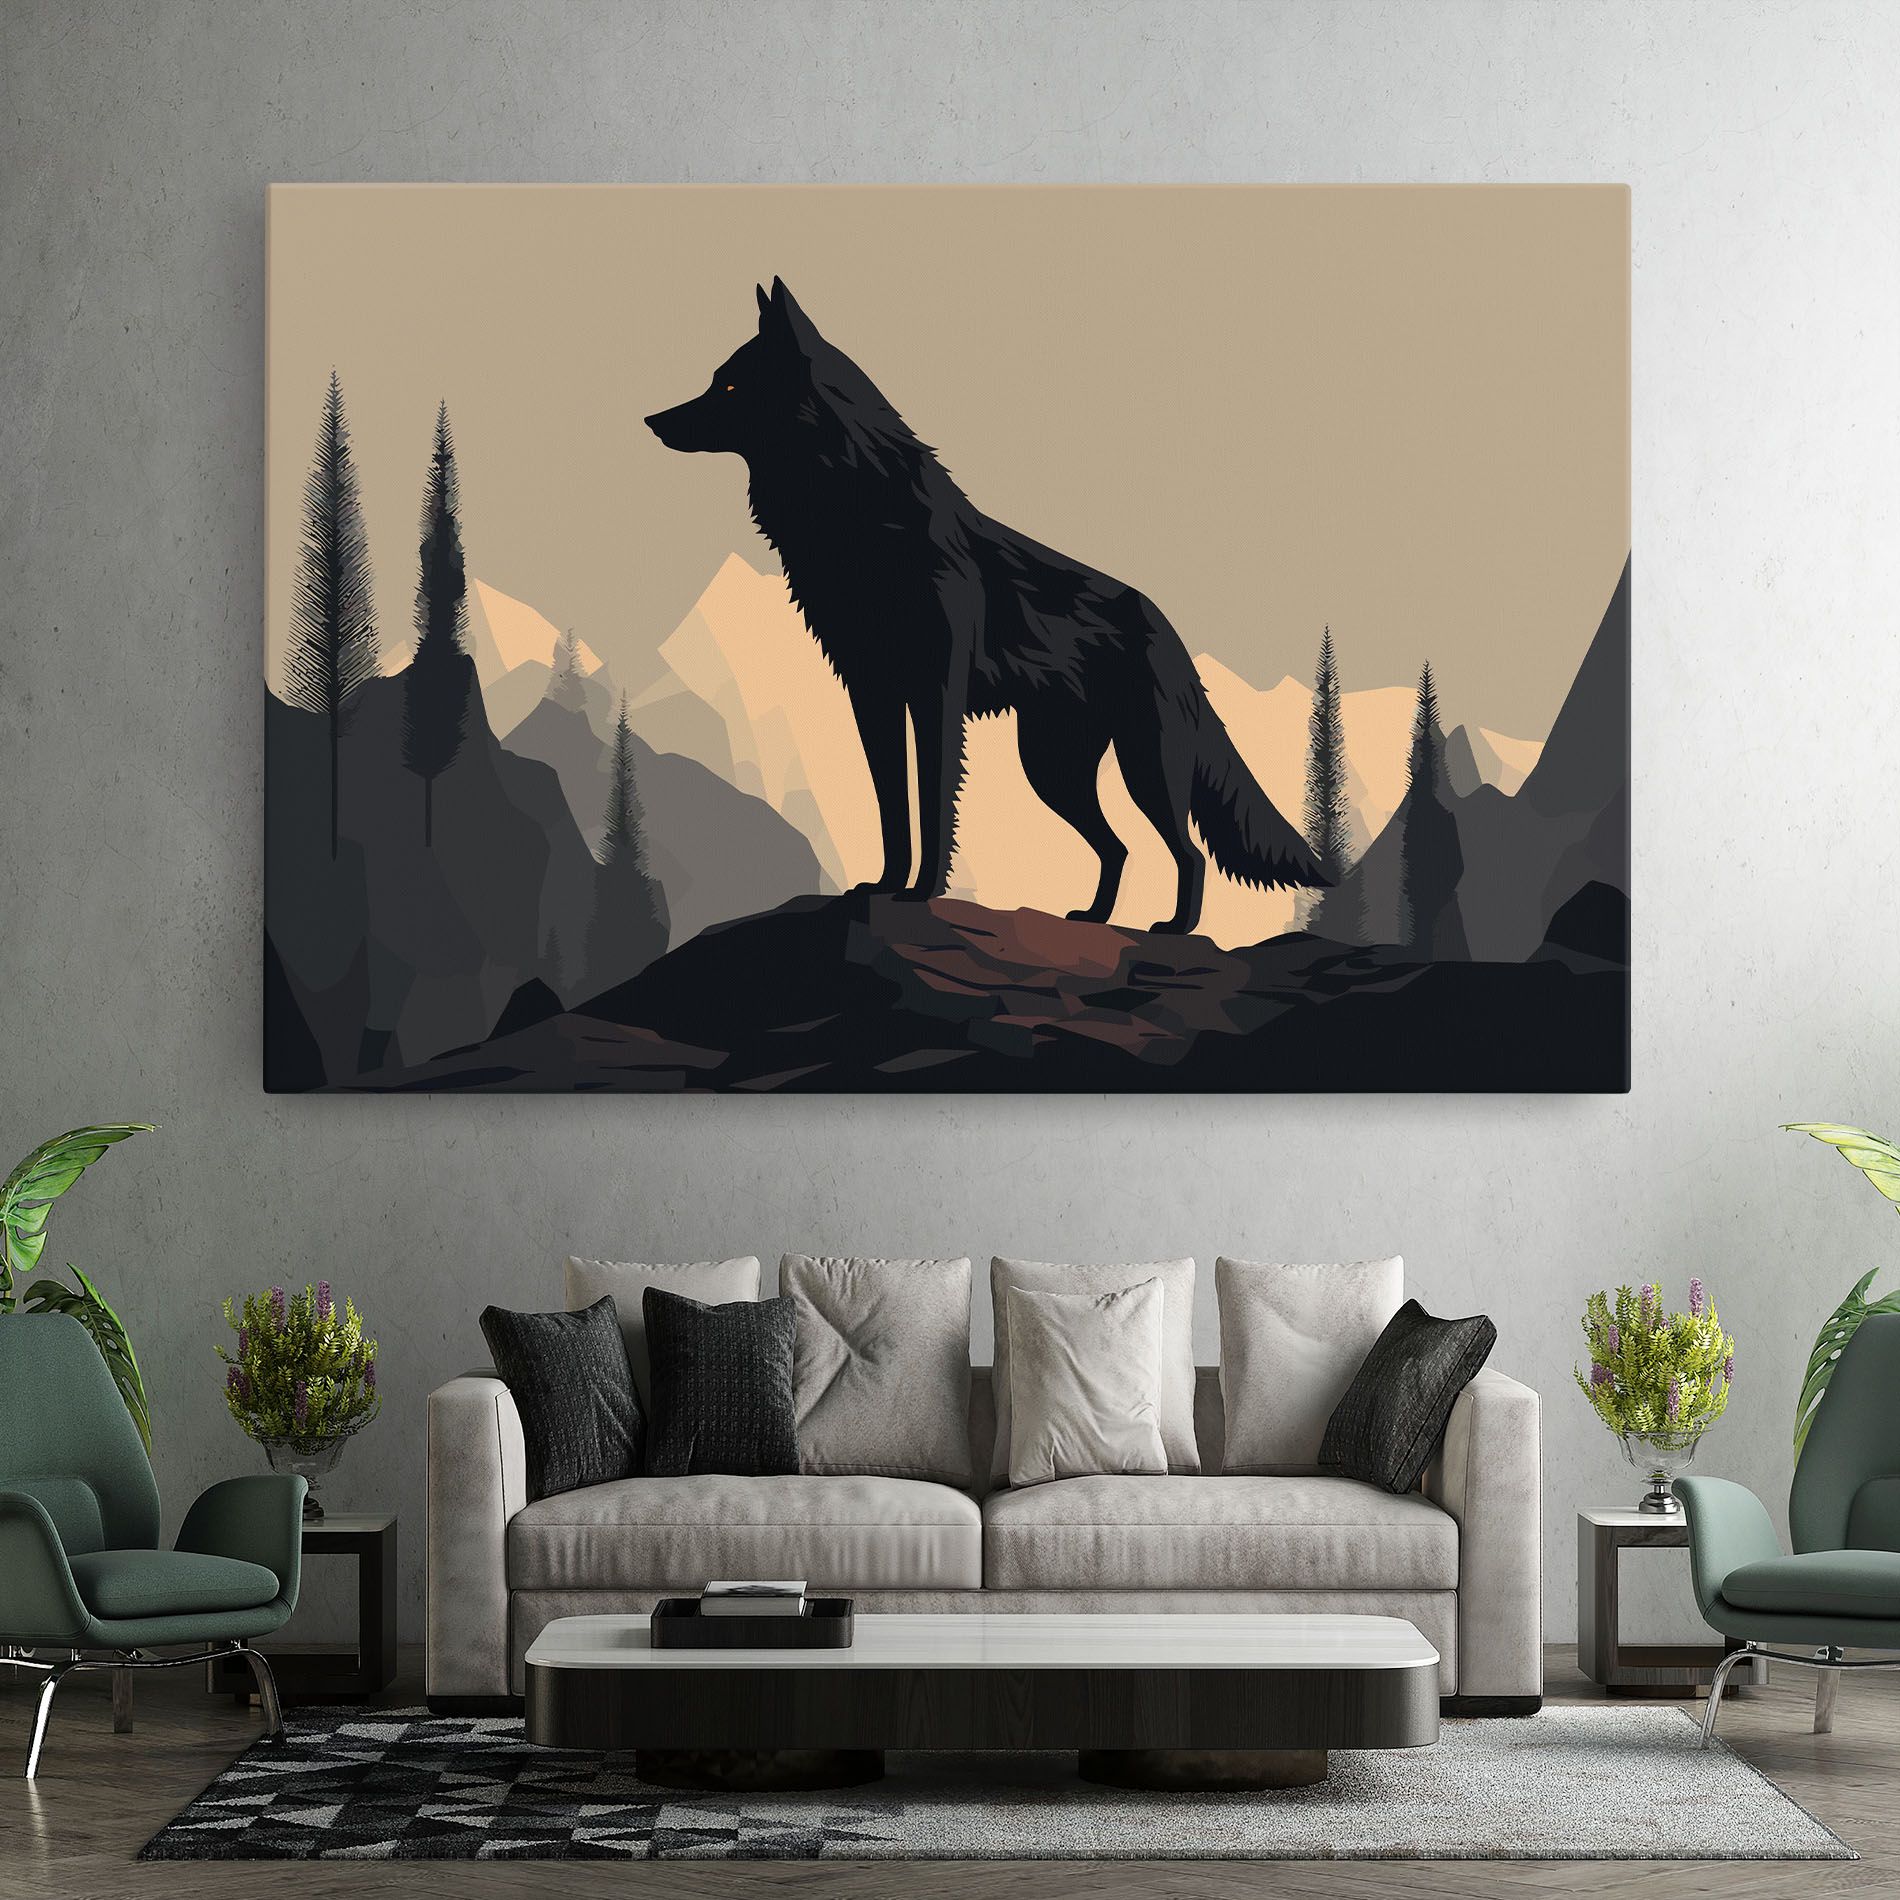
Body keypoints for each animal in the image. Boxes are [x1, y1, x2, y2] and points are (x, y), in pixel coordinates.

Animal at [646, 279, 1324, 935]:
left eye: (730, 384)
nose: (652, 420)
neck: (863, 514)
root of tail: (1169, 629)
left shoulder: (936, 694)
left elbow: (933, 799)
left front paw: (922, 892)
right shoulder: (872, 695)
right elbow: (892, 807)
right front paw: (884, 886)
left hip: (1142, 766)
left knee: (1187, 852)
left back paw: (1175, 928)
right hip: (1053, 770)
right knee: (1119, 847)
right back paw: (1095, 918)